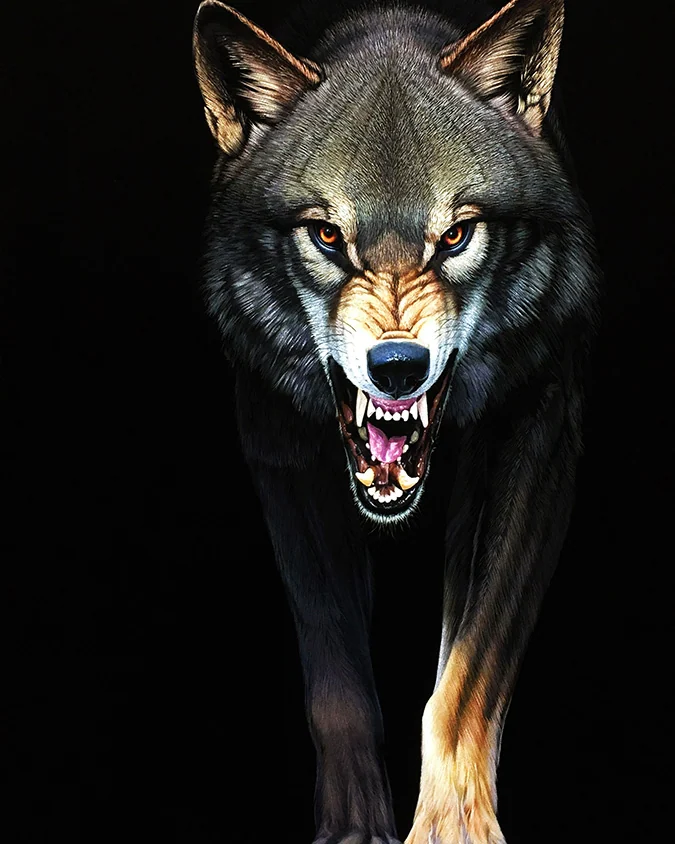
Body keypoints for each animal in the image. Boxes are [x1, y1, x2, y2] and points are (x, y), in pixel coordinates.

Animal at [192, 0, 598, 841]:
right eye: (325, 235)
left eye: (455, 235)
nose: (398, 367)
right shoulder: (277, 449)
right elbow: (337, 680)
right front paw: (353, 824)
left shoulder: (539, 439)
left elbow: (465, 677)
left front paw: (452, 824)